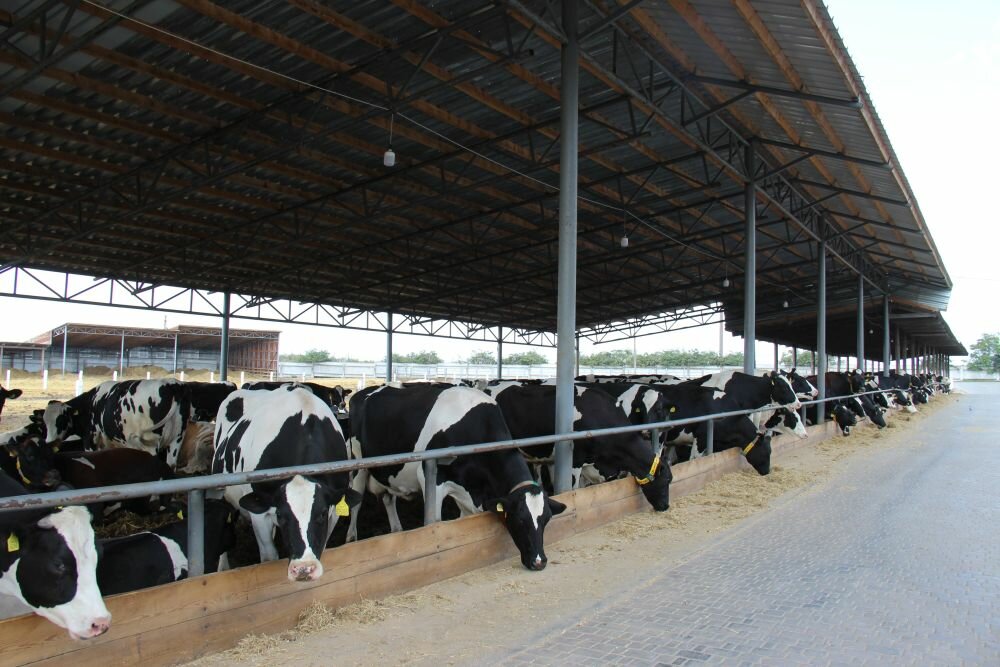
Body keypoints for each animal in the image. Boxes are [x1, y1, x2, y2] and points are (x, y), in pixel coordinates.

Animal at [40, 380, 191, 467]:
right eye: (45, 422)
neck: (90, 404)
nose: (48, 442)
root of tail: (171, 385)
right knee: (171, 464)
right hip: (176, 439)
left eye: (61, 420)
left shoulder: (90, 440)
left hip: (150, 443)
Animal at [212, 386, 360, 582]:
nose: (304, 569)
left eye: (321, 514)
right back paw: (222, 567)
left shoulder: (333, 507)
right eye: (282, 515)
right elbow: (269, 557)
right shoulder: (260, 513)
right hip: (219, 489)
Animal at [346, 384, 565, 570]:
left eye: (546, 519)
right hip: (358, 464)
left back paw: (397, 530)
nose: (539, 561)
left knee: (388, 499)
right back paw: (351, 539)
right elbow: (435, 522)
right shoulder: (430, 478)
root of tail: (365, 391)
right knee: (356, 502)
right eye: (520, 519)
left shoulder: (467, 490)